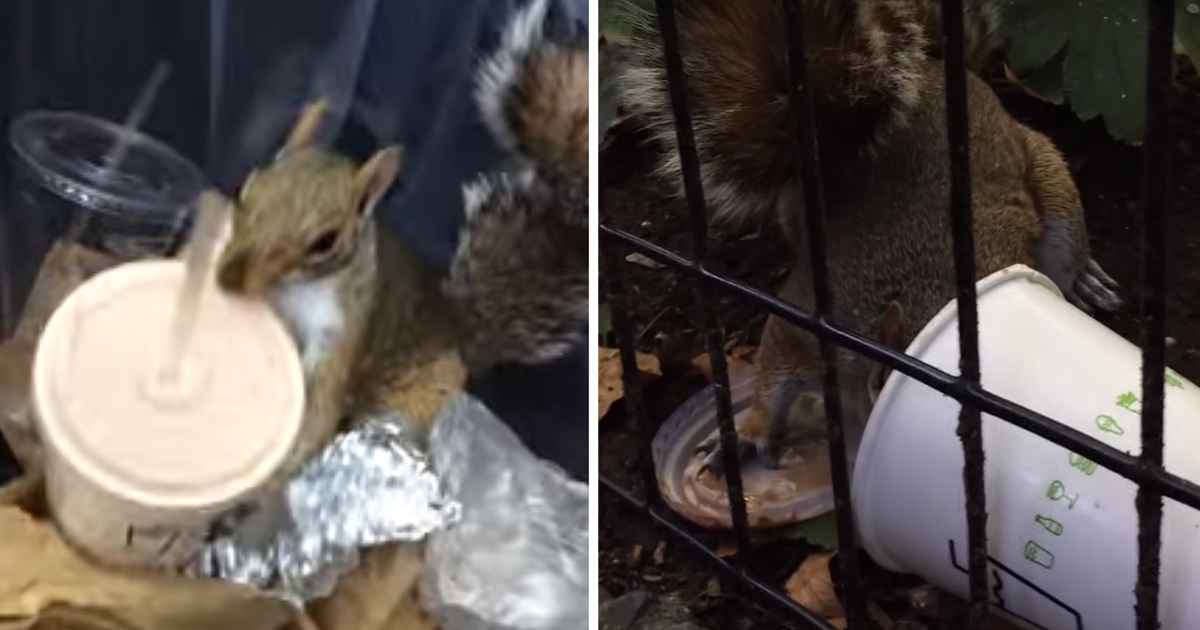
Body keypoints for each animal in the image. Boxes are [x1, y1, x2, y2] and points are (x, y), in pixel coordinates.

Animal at [214, 0, 587, 474]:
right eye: (247, 189)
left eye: (325, 242)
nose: (228, 277)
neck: (293, 292)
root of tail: (459, 337)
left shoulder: (342, 335)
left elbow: (320, 405)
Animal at [615, 0, 1123, 477]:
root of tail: (936, 68)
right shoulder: (803, 323)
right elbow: (772, 376)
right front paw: (743, 435)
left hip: (1048, 181)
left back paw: (1085, 280)